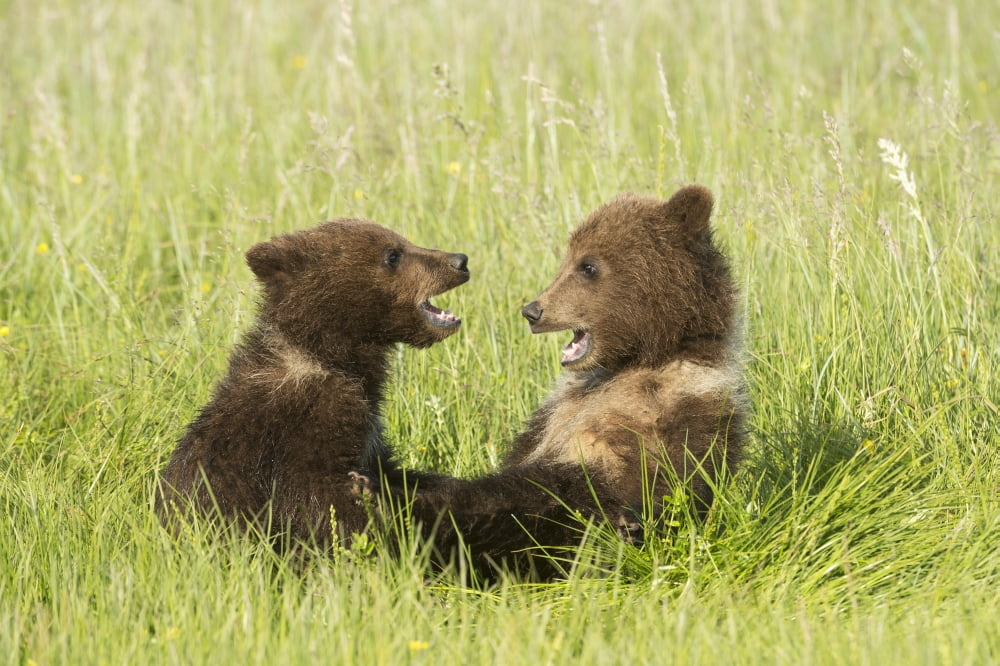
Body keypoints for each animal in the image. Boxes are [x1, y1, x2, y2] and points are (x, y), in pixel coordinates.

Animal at [156, 219, 470, 548]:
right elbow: (314, 502)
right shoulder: (302, 423)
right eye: (393, 254)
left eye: (402, 241)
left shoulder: (367, 433)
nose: (460, 261)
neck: (330, 356)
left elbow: (394, 472)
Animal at [353, 184, 747, 581]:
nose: (533, 311)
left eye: (588, 266)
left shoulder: (672, 416)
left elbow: (656, 487)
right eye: (567, 260)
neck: (645, 358)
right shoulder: (556, 411)